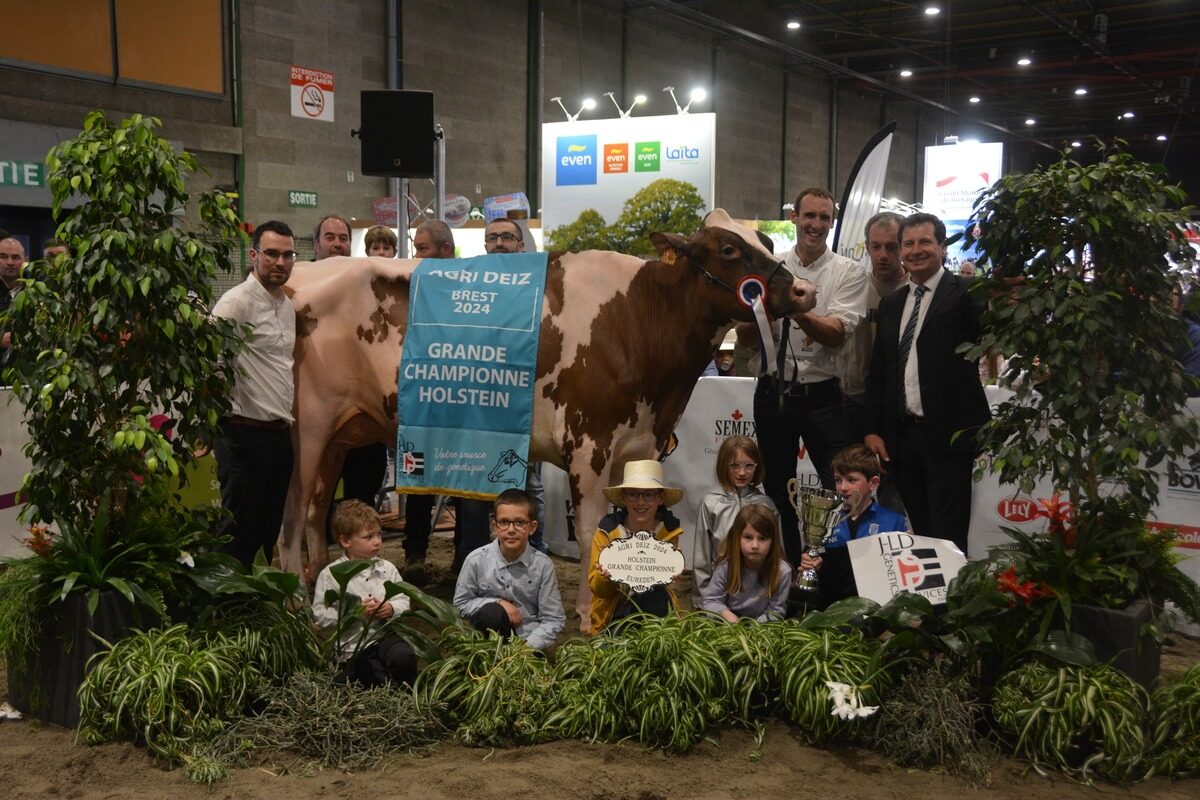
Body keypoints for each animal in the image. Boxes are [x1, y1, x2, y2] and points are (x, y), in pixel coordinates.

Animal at [278, 211, 816, 633]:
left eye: (767, 242)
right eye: (729, 249)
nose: (804, 289)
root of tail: (302, 274)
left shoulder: (638, 445)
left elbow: (623, 524)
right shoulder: (589, 443)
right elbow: (591, 530)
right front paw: (588, 614)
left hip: (339, 435)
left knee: (317, 510)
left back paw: (322, 580)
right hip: (309, 427)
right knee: (292, 515)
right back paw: (294, 601)